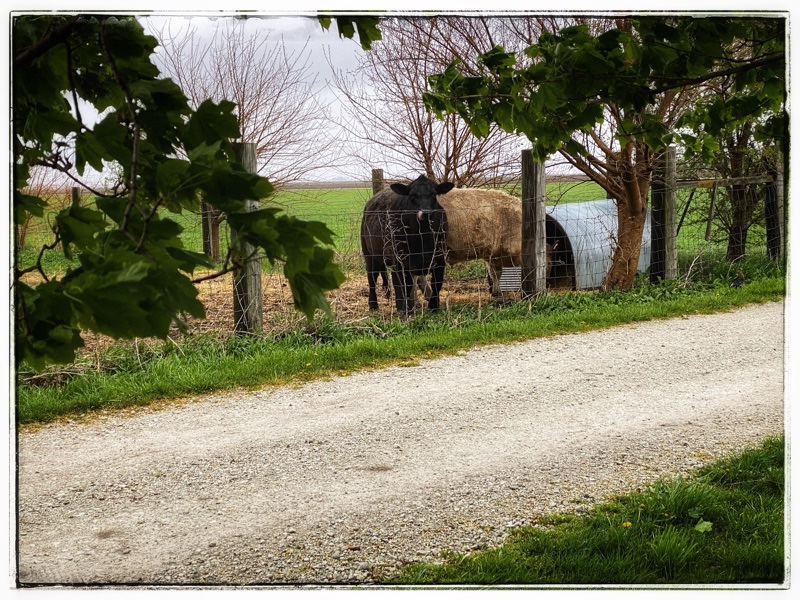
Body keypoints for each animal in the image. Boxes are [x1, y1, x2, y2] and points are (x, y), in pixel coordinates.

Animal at [360, 175, 454, 314]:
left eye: (433, 194)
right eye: (412, 195)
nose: (425, 213)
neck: (423, 237)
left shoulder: (440, 258)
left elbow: (437, 283)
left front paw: (434, 306)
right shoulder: (400, 261)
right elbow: (403, 286)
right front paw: (405, 310)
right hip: (369, 255)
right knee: (372, 278)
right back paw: (373, 304)